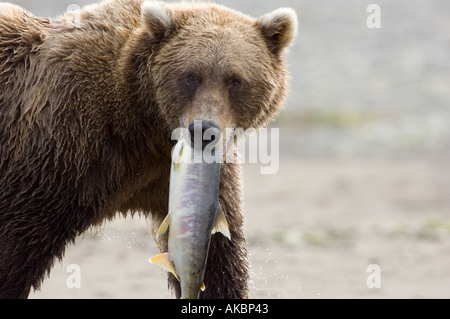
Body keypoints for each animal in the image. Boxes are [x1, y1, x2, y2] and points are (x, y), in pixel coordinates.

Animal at [0, 0, 298, 300]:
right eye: (191, 76)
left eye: (235, 80)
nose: (204, 130)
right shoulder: (60, 146)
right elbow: (19, 239)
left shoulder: (181, 177)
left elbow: (220, 253)